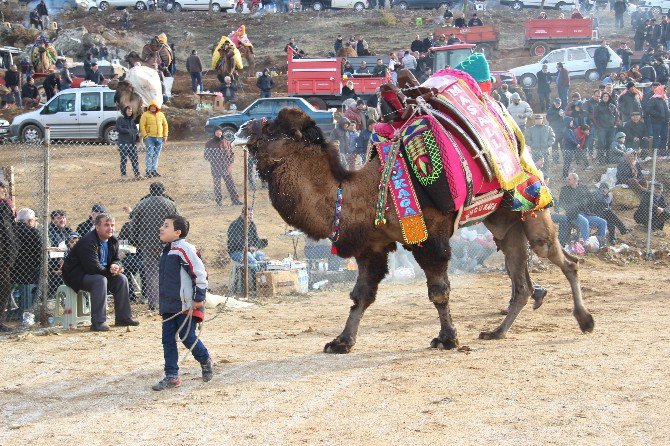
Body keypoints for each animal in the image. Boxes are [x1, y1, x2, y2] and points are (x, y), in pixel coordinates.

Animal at [234, 106, 596, 354]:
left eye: (272, 130)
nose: (240, 128)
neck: (365, 192)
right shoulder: (372, 246)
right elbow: (361, 295)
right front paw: (341, 342)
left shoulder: (429, 237)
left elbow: (438, 291)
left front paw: (447, 339)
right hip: (503, 222)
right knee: (520, 280)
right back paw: (496, 331)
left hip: (531, 203)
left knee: (563, 259)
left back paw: (585, 320)